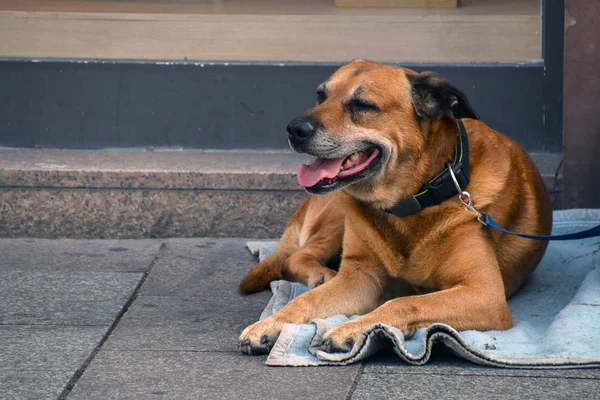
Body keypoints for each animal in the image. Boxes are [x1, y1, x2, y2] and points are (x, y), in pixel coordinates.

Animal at [237, 58, 552, 354]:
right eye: (320, 95)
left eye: (362, 104)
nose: (294, 129)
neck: (411, 202)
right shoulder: (360, 276)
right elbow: (304, 301)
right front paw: (270, 324)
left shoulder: (484, 293)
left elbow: (405, 302)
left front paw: (353, 328)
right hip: (339, 208)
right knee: (295, 258)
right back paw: (321, 274)